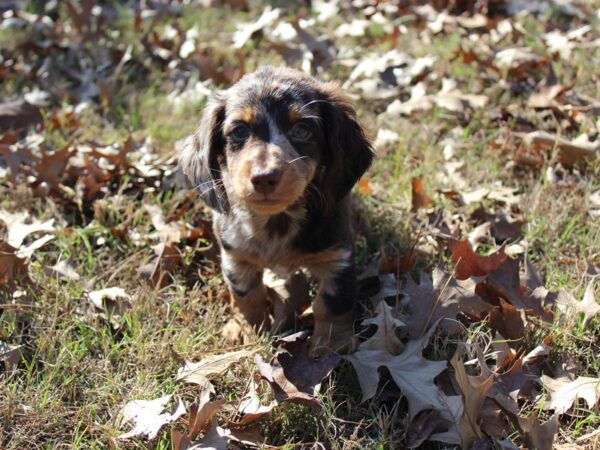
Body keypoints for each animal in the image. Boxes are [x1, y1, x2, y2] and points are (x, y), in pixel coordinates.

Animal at [180, 66, 372, 356]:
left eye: (302, 129)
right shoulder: (236, 257)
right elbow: (248, 298)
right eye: (239, 131)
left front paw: (330, 345)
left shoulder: (338, 257)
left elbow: (331, 303)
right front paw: (248, 331)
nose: (264, 178)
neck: (275, 221)